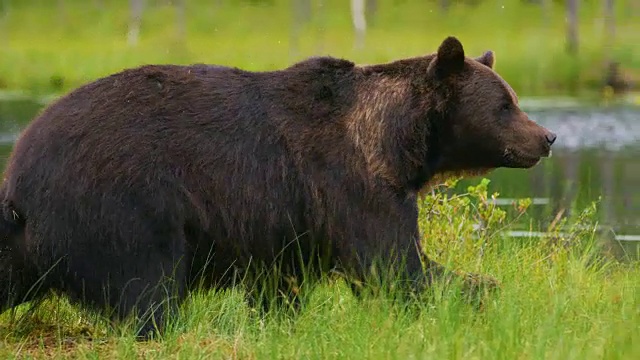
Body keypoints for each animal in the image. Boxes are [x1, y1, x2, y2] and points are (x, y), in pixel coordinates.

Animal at [0, 36, 556, 340]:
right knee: (150, 288)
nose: (546, 137)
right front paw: (485, 289)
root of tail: (19, 173)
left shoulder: (287, 221)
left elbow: (281, 284)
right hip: (124, 203)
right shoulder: (348, 182)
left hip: (38, 239)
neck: (398, 145)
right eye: (505, 105)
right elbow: (392, 265)